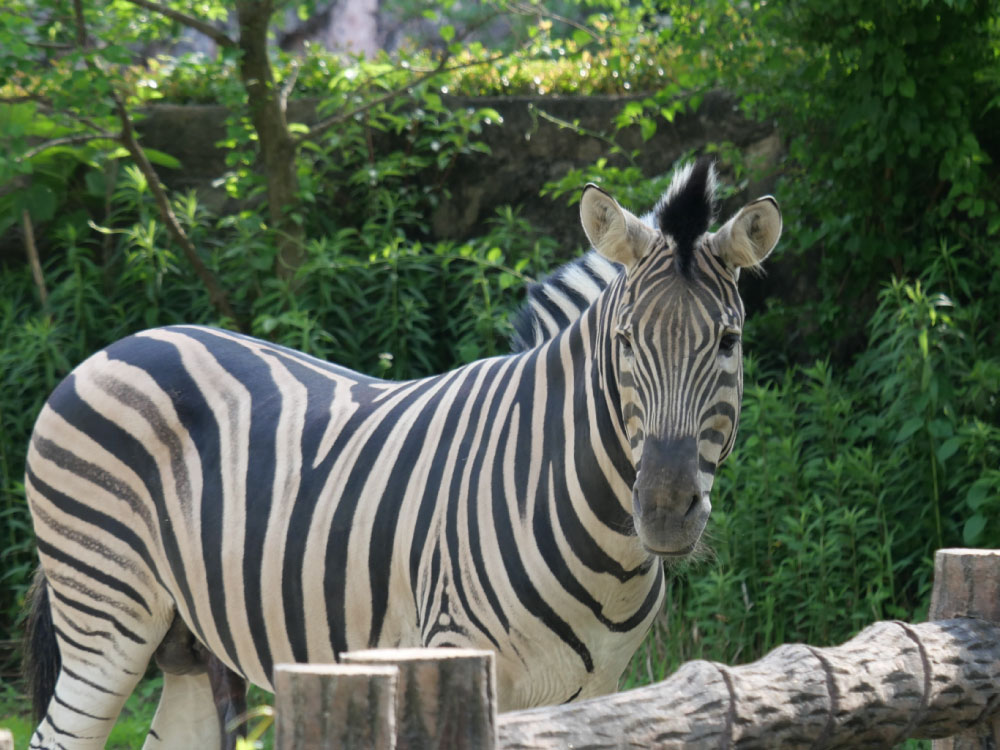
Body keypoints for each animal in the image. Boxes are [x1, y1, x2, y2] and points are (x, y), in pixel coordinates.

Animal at [21, 160, 780, 750]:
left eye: (729, 341)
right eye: (624, 341)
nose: (664, 509)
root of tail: (120, 345)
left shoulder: (597, 688)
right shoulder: (452, 656)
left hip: (185, 643)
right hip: (106, 621)